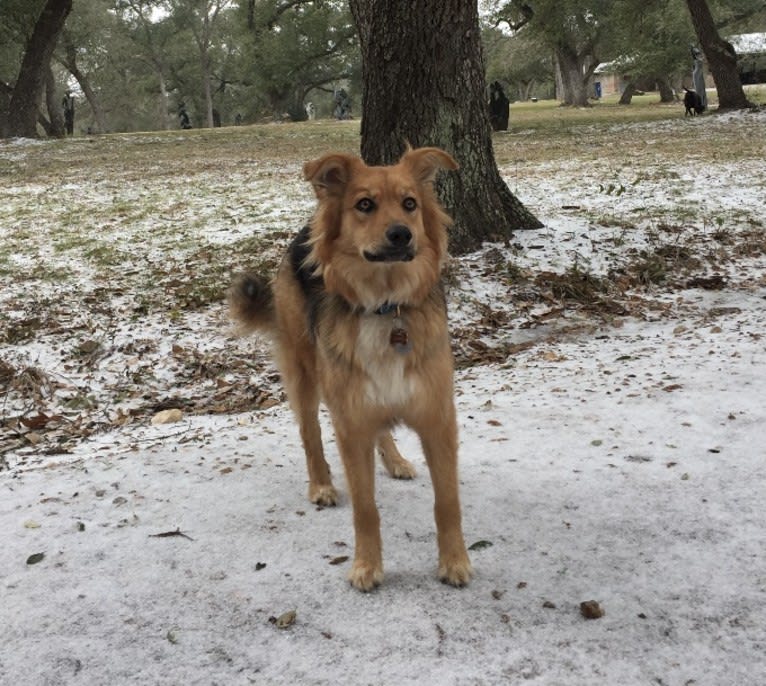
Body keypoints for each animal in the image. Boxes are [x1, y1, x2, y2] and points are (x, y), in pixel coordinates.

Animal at [230, 148, 474, 592]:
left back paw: (395, 460)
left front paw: (454, 562)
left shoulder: (437, 419)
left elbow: (447, 501)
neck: (386, 307)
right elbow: (365, 508)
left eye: (410, 203)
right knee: (310, 435)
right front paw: (366, 566)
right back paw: (321, 484)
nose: (401, 235)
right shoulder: (351, 424)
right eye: (364, 205)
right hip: (305, 374)